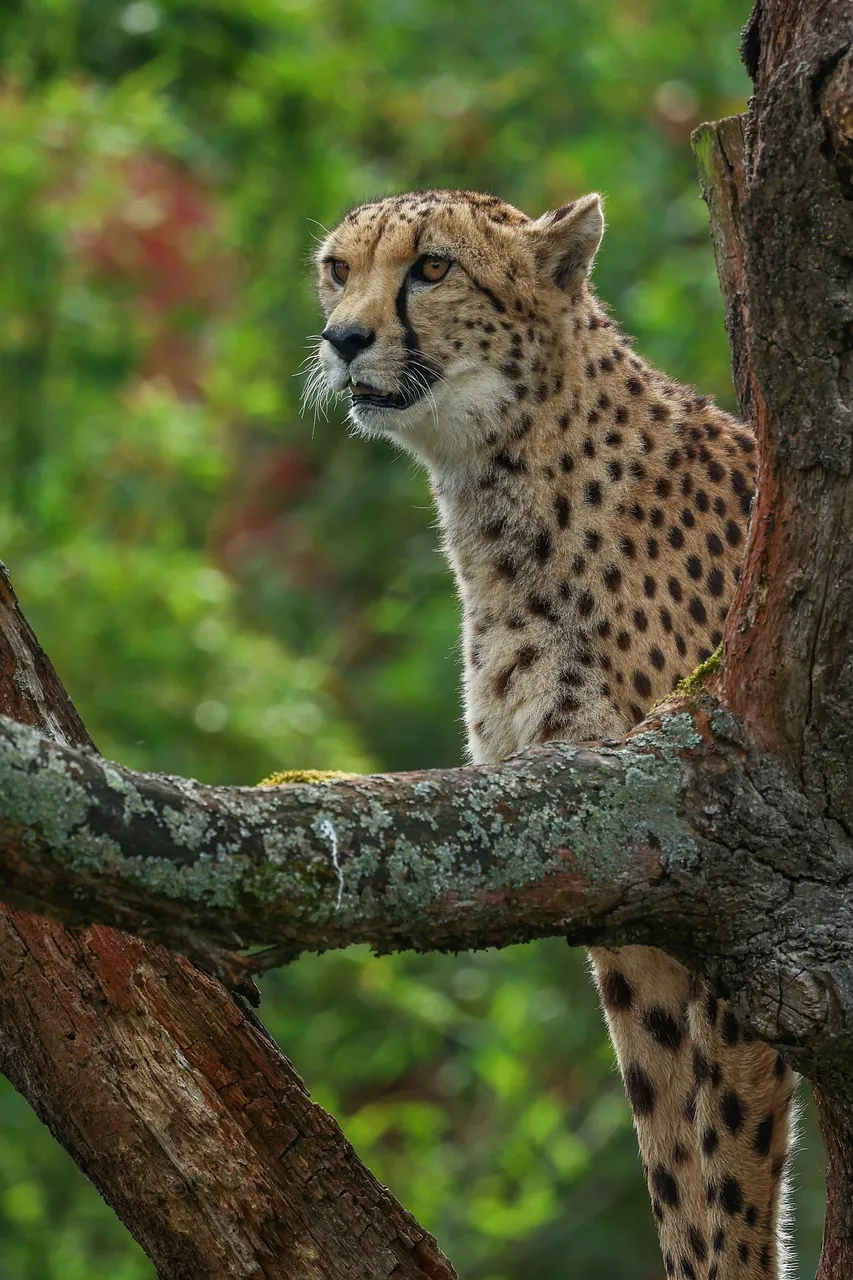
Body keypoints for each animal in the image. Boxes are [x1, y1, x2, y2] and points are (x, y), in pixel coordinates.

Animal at [308, 187, 798, 1280]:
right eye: (335, 268)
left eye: (432, 268)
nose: (341, 337)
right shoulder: (622, 870)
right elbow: (672, 1152)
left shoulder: (730, 869)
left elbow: (733, 1152)